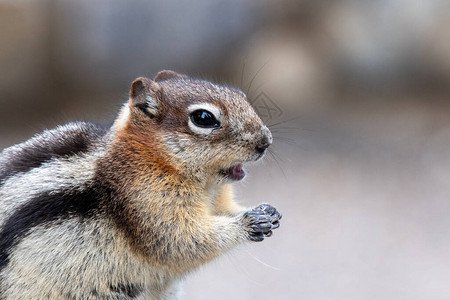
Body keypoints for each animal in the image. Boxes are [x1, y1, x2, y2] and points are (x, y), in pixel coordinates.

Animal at [0, 71, 282, 300]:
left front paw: (268, 212)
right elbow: (181, 240)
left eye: (240, 95)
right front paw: (248, 222)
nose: (266, 141)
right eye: (204, 118)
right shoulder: (147, 200)